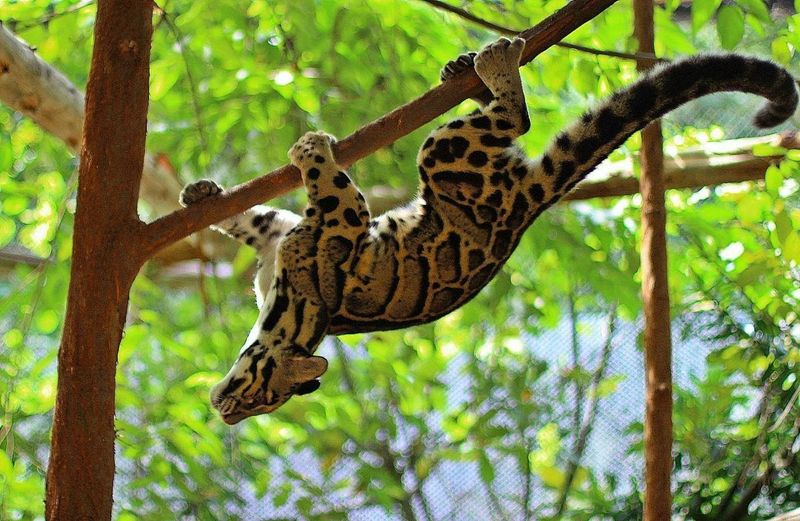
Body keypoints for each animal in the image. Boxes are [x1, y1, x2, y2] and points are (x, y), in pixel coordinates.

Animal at [181, 37, 800, 422]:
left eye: (256, 397)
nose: (222, 411)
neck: (288, 309)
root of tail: (529, 204)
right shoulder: (277, 235)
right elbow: (251, 218)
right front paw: (203, 197)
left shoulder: (338, 222)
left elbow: (331, 185)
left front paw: (311, 148)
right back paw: (468, 71)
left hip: (442, 154)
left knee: (515, 120)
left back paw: (496, 66)